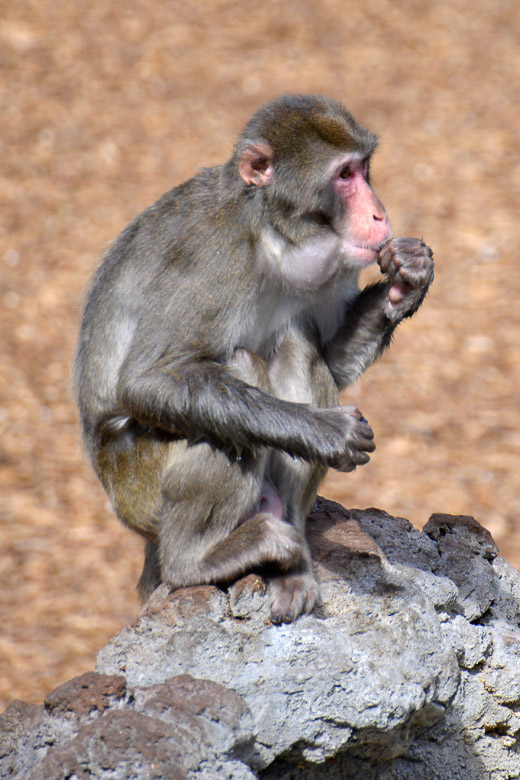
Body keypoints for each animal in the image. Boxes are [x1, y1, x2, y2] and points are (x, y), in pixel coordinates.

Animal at [74, 94, 433, 623]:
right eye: (344, 175)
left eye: (364, 169)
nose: (379, 215)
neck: (272, 236)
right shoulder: (211, 258)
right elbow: (148, 381)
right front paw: (322, 429)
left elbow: (332, 360)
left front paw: (409, 276)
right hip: (139, 488)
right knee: (236, 377)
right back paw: (195, 562)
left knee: (295, 343)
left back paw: (293, 564)